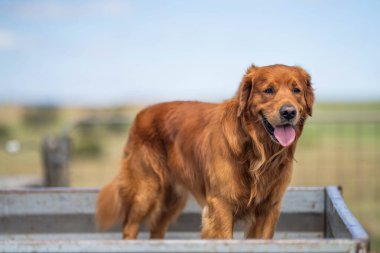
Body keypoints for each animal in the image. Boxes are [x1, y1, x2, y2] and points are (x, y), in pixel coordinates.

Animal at [95, 63, 314, 239]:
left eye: (296, 90)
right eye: (268, 90)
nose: (289, 112)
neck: (257, 151)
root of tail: (141, 113)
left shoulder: (269, 208)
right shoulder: (221, 205)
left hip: (172, 199)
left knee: (157, 230)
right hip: (146, 190)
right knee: (129, 226)